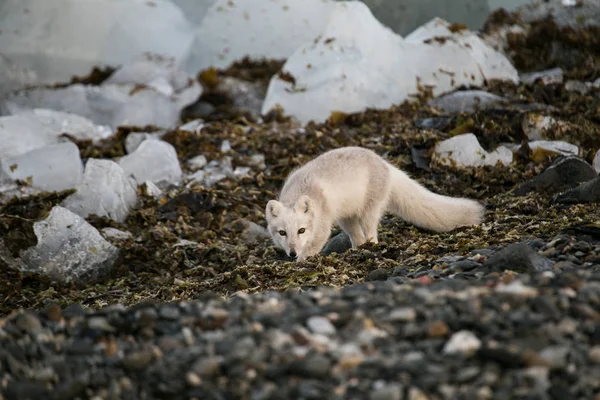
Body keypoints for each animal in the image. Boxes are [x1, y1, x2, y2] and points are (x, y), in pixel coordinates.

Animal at [264, 145, 486, 260]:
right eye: (282, 233)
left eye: (301, 230)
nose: (292, 253)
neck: (302, 190)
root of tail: (385, 164)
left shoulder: (323, 225)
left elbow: (314, 245)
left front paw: (301, 261)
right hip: (346, 217)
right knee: (357, 237)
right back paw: (357, 250)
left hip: (369, 210)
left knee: (371, 234)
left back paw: (371, 247)